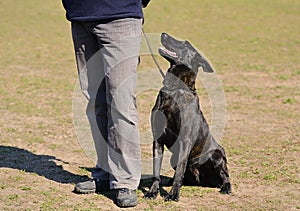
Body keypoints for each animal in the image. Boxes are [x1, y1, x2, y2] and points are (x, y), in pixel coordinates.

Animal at [144, 33, 231, 201]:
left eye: (184, 43)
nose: (163, 33)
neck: (175, 89)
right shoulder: (157, 139)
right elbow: (156, 170)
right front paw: (153, 191)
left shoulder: (185, 140)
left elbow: (180, 170)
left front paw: (173, 195)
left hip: (217, 155)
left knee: (226, 176)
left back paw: (226, 187)